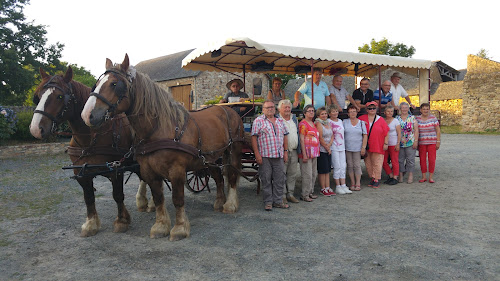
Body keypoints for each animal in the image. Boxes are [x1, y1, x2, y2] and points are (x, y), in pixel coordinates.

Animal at [30, 66, 152, 236]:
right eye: (38, 96)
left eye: (60, 96)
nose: (35, 129)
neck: (92, 137)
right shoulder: (81, 172)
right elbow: (88, 197)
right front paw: (91, 224)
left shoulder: (116, 169)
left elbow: (117, 195)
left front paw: (122, 220)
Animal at [82, 53, 244, 240]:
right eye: (97, 83)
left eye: (114, 84)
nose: (87, 115)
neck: (159, 129)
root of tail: (227, 110)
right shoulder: (149, 171)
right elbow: (159, 198)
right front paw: (160, 226)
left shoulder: (177, 170)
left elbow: (177, 199)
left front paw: (180, 228)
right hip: (210, 158)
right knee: (218, 177)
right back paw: (219, 201)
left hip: (233, 150)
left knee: (232, 175)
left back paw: (230, 204)